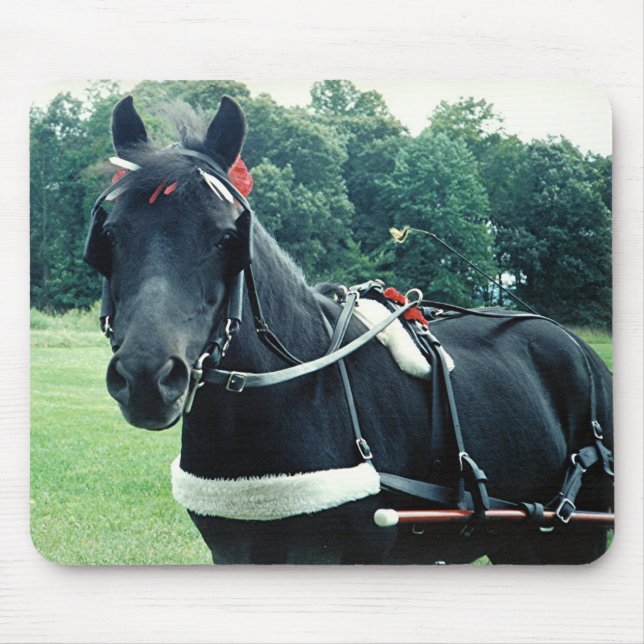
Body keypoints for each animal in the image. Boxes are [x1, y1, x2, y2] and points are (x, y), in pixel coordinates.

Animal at [84, 95, 613, 564]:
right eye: (109, 235)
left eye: (226, 237)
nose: (147, 376)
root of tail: (579, 347)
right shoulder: (234, 548)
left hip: (574, 535)